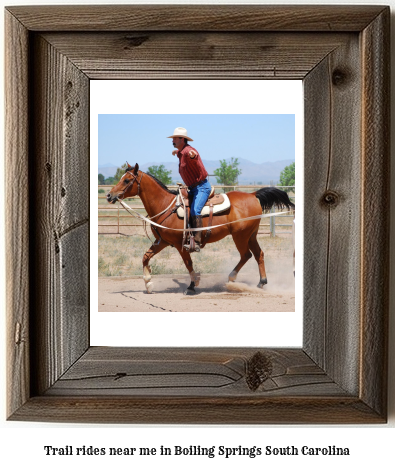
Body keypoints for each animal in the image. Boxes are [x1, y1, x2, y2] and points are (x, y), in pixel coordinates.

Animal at [106, 162, 296, 294]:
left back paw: (233, 278)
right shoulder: (162, 241)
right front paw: (148, 283)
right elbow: (145, 257)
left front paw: (192, 285)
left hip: (240, 236)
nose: (109, 195)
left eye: (127, 180)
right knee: (258, 254)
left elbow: (188, 264)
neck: (165, 205)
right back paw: (261, 282)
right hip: (251, 235)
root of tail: (252, 195)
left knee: (246, 255)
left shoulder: (180, 244)